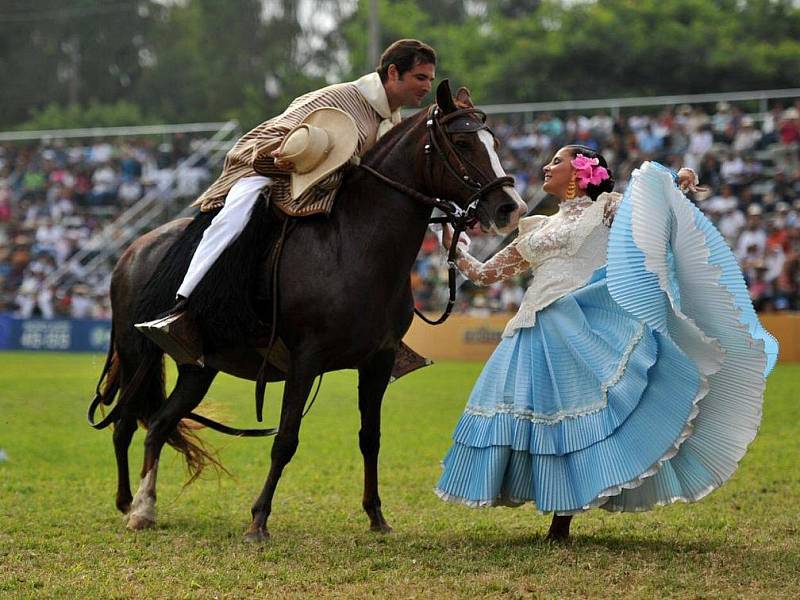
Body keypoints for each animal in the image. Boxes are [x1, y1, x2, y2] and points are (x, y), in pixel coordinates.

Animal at [92, 79, 524, 540]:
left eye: (494, 142)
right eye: (462, 142)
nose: (510, 207)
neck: (352, 246)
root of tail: (132, 249)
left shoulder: (377, 361)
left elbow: (370, 437)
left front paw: (376, 516)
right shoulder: (305, 359)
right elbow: (286, 439)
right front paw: (258, 520)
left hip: (198, 368)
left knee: (158, 424)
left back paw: (144, 505)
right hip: (137, 354)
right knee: (124, 422)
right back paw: (131, 504)